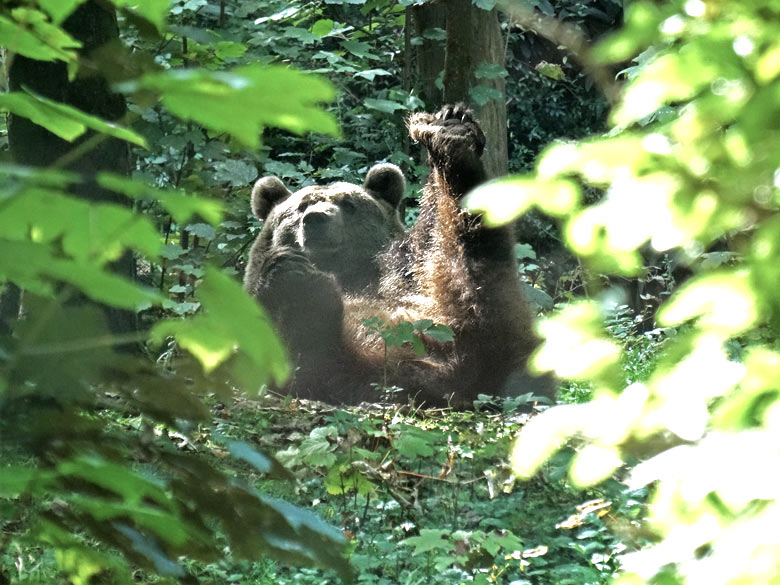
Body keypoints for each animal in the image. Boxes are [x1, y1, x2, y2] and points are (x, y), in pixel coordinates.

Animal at [244, 105, 548, 406]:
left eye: (348, 204)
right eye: (299, 207)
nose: (316, 218)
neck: (347, 274)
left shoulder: (402, 269)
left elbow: (427, 236)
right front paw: (286, 271)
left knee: (471, 250)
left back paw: (450, 135)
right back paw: (304, 292)